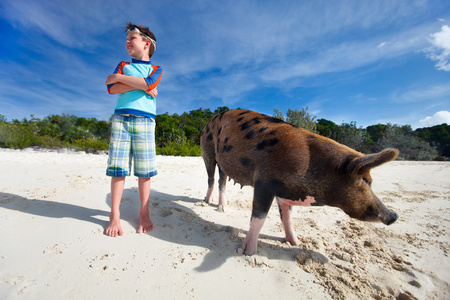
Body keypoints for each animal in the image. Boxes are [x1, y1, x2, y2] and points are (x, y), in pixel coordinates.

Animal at [200, 110, 398, 255]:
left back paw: (222, 207)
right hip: (207, 150)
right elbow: (259, 217)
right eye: (367, 181)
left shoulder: (285, 191)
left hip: (223, 164)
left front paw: (295, 243)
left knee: (222, 181)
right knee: (211, 178)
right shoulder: (264, 182)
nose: (394, 215)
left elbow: (287, 217)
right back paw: (207, 202)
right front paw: (248, 252)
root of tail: (211, 119)